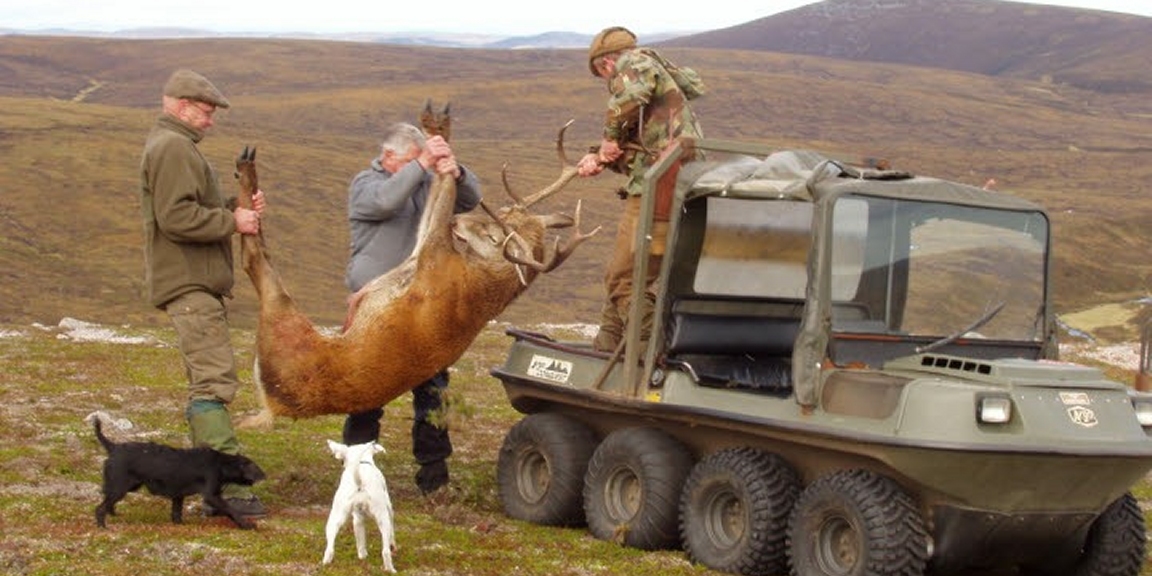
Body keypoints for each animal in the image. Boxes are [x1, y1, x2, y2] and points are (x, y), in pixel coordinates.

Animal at [92, 417, 267, 527]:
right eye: (255, 467)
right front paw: (246, 524)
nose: (264, 476)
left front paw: (180, 525)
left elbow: (176, 513)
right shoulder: (211, 495)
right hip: (119, 487)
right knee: (100, 509)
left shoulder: (178, 495)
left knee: (108, 505)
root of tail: (113, 447)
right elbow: (231, 510)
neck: (220, 463)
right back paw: (103, 526)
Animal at [322, 440, 398, 571]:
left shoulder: (358, 520)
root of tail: (359, 481)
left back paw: (326, 563)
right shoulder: (389, 509)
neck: (362, 461)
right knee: (385, 551)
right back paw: (390, 569)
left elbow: (361, 543)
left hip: (335, 518)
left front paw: (363, 557)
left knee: (330, 549)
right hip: (383, 518)